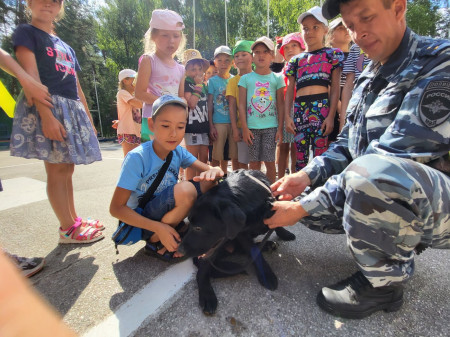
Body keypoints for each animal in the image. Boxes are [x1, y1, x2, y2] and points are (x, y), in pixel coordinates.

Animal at [178, 169, 298, 314]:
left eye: (198, 228)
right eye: (190, 223)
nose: (179, 250)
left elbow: (278, 222)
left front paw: (284, 233)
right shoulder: (242, 234)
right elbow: (255, 253)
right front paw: (266, 274)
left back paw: (268, 245)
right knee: (202, 271)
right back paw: (207, 295)